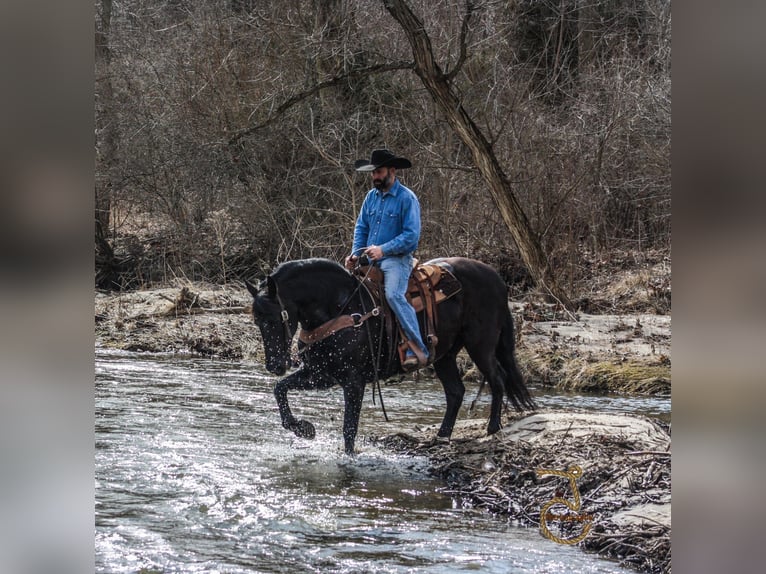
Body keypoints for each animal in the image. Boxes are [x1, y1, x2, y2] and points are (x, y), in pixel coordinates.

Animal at [246, 258, 536, 456]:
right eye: (257, 320)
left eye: (274, 317)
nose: (274, 365)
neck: (340, 308)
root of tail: (496, 279)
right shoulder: (322, 374)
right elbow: (280, 388)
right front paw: (303, 428)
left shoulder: (353, 381)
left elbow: (349, 427)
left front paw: (348, 458)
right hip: (444, 356)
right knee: (456, 392)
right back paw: (441, 437)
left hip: (480, 345)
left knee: (497, 379)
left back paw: (493, 428)